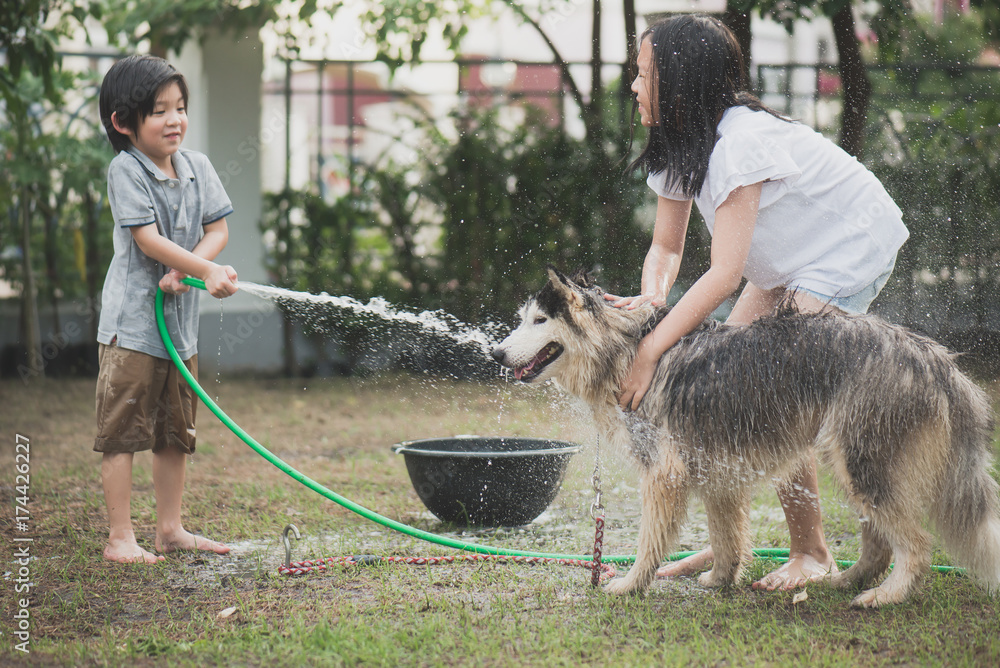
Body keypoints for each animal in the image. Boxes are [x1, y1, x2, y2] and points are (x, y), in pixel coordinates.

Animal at [494, 266, 1000, 604]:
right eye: (524, 319)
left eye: (539, 321)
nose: (496, 353)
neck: (625, 348)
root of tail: (933, 357)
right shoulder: (718, 469)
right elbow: (727, 537)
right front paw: (721, 578)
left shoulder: (663, 473)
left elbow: (649, 542)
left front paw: (630, 583)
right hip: (852, 465)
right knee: (878, 544)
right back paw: (841, 582)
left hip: (861, 464)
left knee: (917, 545)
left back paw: (886, 596)